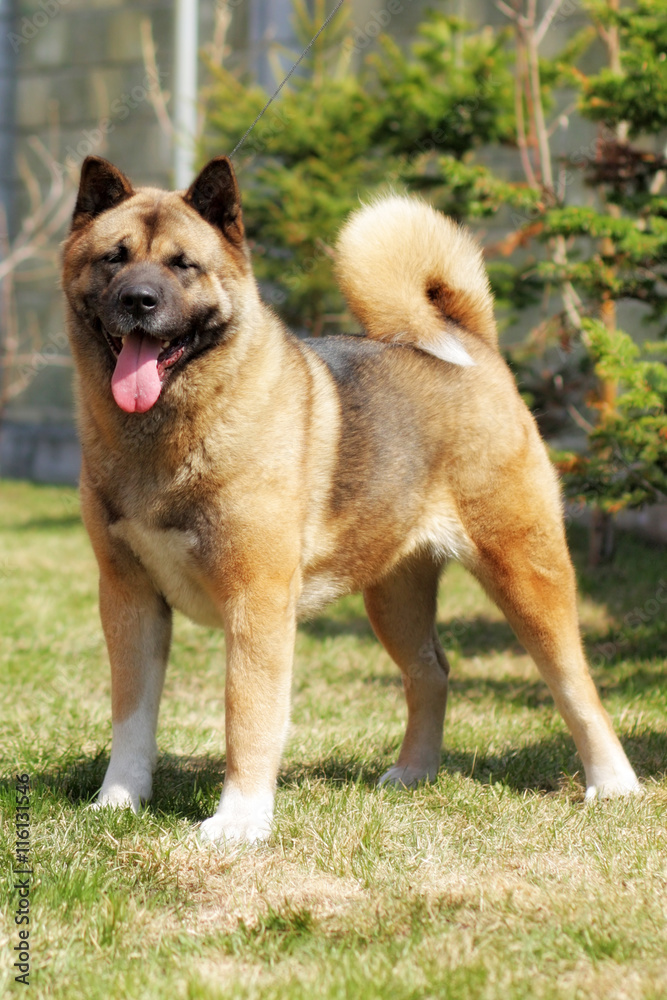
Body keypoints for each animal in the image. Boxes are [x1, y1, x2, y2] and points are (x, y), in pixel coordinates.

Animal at [62, 156, 640, 844]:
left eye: (184, 264)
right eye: (114, 258)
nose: (138, 301)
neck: (171, 433)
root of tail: (473, 347)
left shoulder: (256, 602)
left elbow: (247, 716)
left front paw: (240, 822)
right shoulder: (128, 597)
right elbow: (130, 715)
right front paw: (117, 802)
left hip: (526, 572)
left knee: (576, 684)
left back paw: (613, 784)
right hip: (394, 596)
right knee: (431, 673)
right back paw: (413, 773)